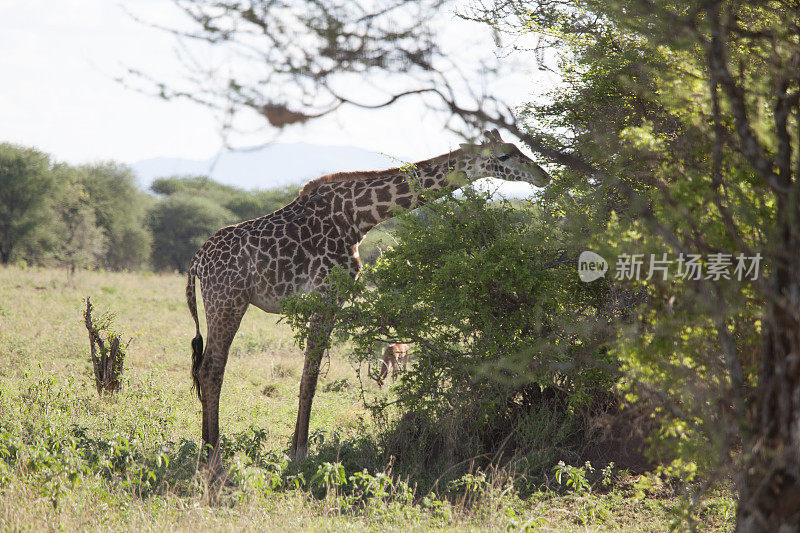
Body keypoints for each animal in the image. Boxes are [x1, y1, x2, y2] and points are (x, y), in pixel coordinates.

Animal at [188, 128, 552, 466]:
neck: (358, 219)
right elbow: (310, 377)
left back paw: (208, 449)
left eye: (518, 149)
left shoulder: (328, 297)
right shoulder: (327, 293)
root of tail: (198, 262)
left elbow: (310, 375)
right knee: (211, 370)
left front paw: (297, 448)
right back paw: (212, 454)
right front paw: (299, 452)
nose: (543, 176)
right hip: (228, 300)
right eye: (504, 155)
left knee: (205, 368)